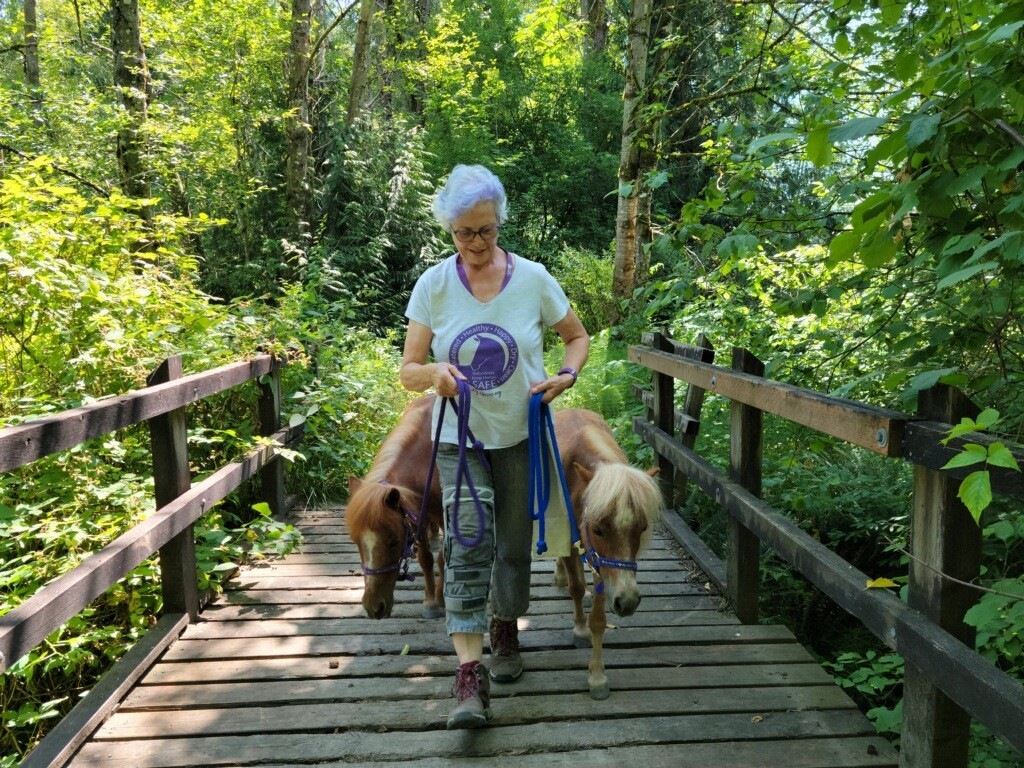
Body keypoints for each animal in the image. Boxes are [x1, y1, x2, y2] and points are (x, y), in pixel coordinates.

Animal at [346, 397, 442, 618]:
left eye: (394, 542)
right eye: (356, 541)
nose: (374, 607)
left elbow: (443, 557)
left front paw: (440, 597)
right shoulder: (416, 517)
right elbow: (426, 559)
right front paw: (430, 601)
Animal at [557, 409, 659, 704]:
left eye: (642, 528)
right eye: (598, 529)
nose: (628, 602)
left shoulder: (602, 565)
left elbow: (599, 620)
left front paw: (597, 676)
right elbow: (576, 589)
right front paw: (579, 629)